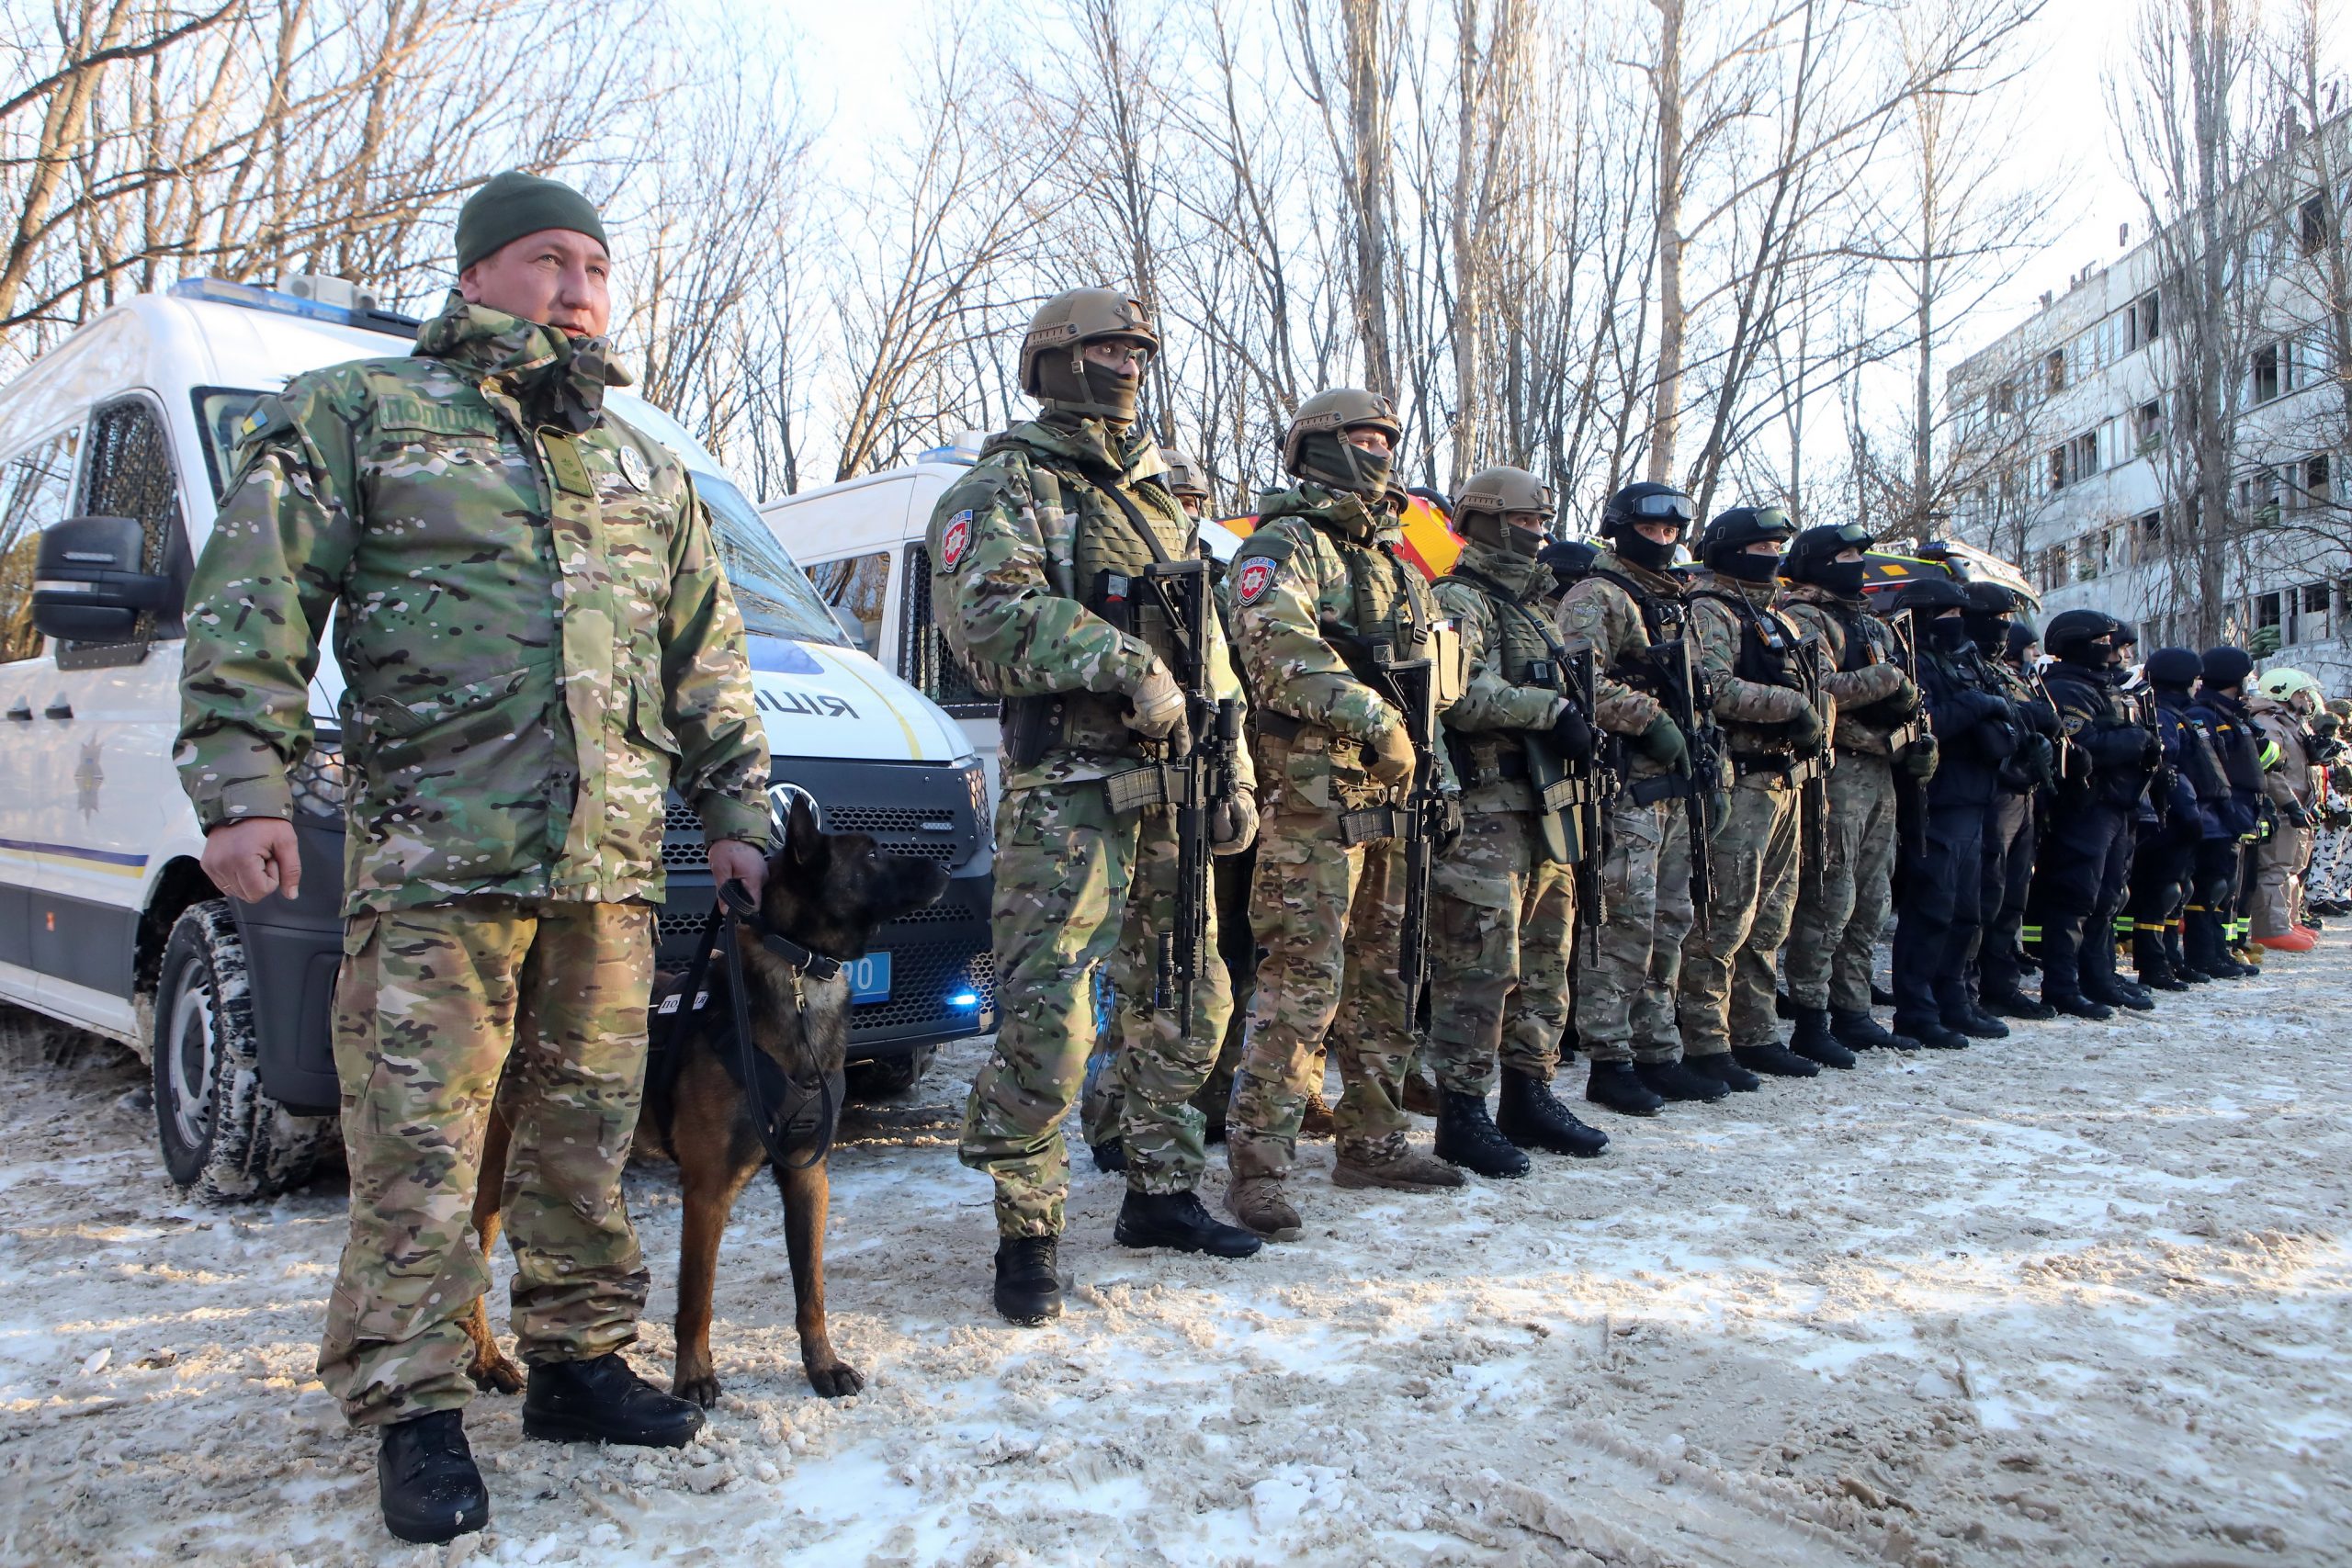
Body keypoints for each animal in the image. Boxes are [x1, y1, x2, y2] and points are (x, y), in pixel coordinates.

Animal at [463, 804, 950, 1401]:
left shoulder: (808, 1178)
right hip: (486, 1179)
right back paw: (486, 1362)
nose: (943, 870)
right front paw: (694, 1375)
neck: (797, 985)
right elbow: (697, 1297)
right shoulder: (708, 1190)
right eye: (875, 853)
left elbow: (810, 1290)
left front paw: (823, 1365)